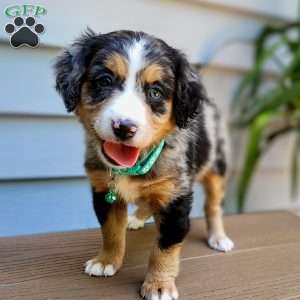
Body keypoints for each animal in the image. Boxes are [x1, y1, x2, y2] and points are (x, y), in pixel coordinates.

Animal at [55, 29, 236, 298]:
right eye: (104, 81)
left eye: (156, 92)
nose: (124, 127)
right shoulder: (103, 190)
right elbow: (111, 231)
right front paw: (106, 261)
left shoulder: (175, 199)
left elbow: (164, 248)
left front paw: (159, 285)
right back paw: (137, 219)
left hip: (217, 167)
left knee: (213, 206)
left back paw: (218, 237)